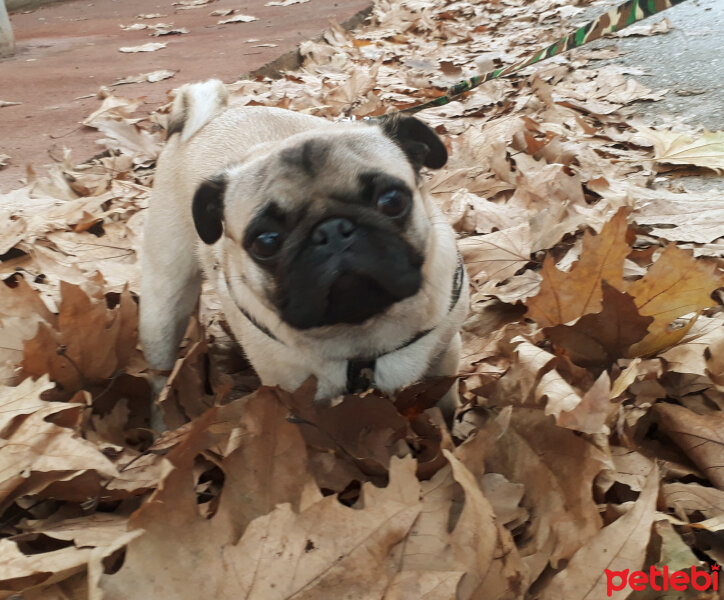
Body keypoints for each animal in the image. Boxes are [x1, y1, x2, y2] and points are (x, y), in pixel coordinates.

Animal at [140, 79, 470, 424]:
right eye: (265, 241)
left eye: (391, 200)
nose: (331, 231)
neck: (361, 332)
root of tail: (210, 118)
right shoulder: (292, 398)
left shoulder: (444, 359)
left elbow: (445, 407)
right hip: (162, 309)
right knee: (161, 374)